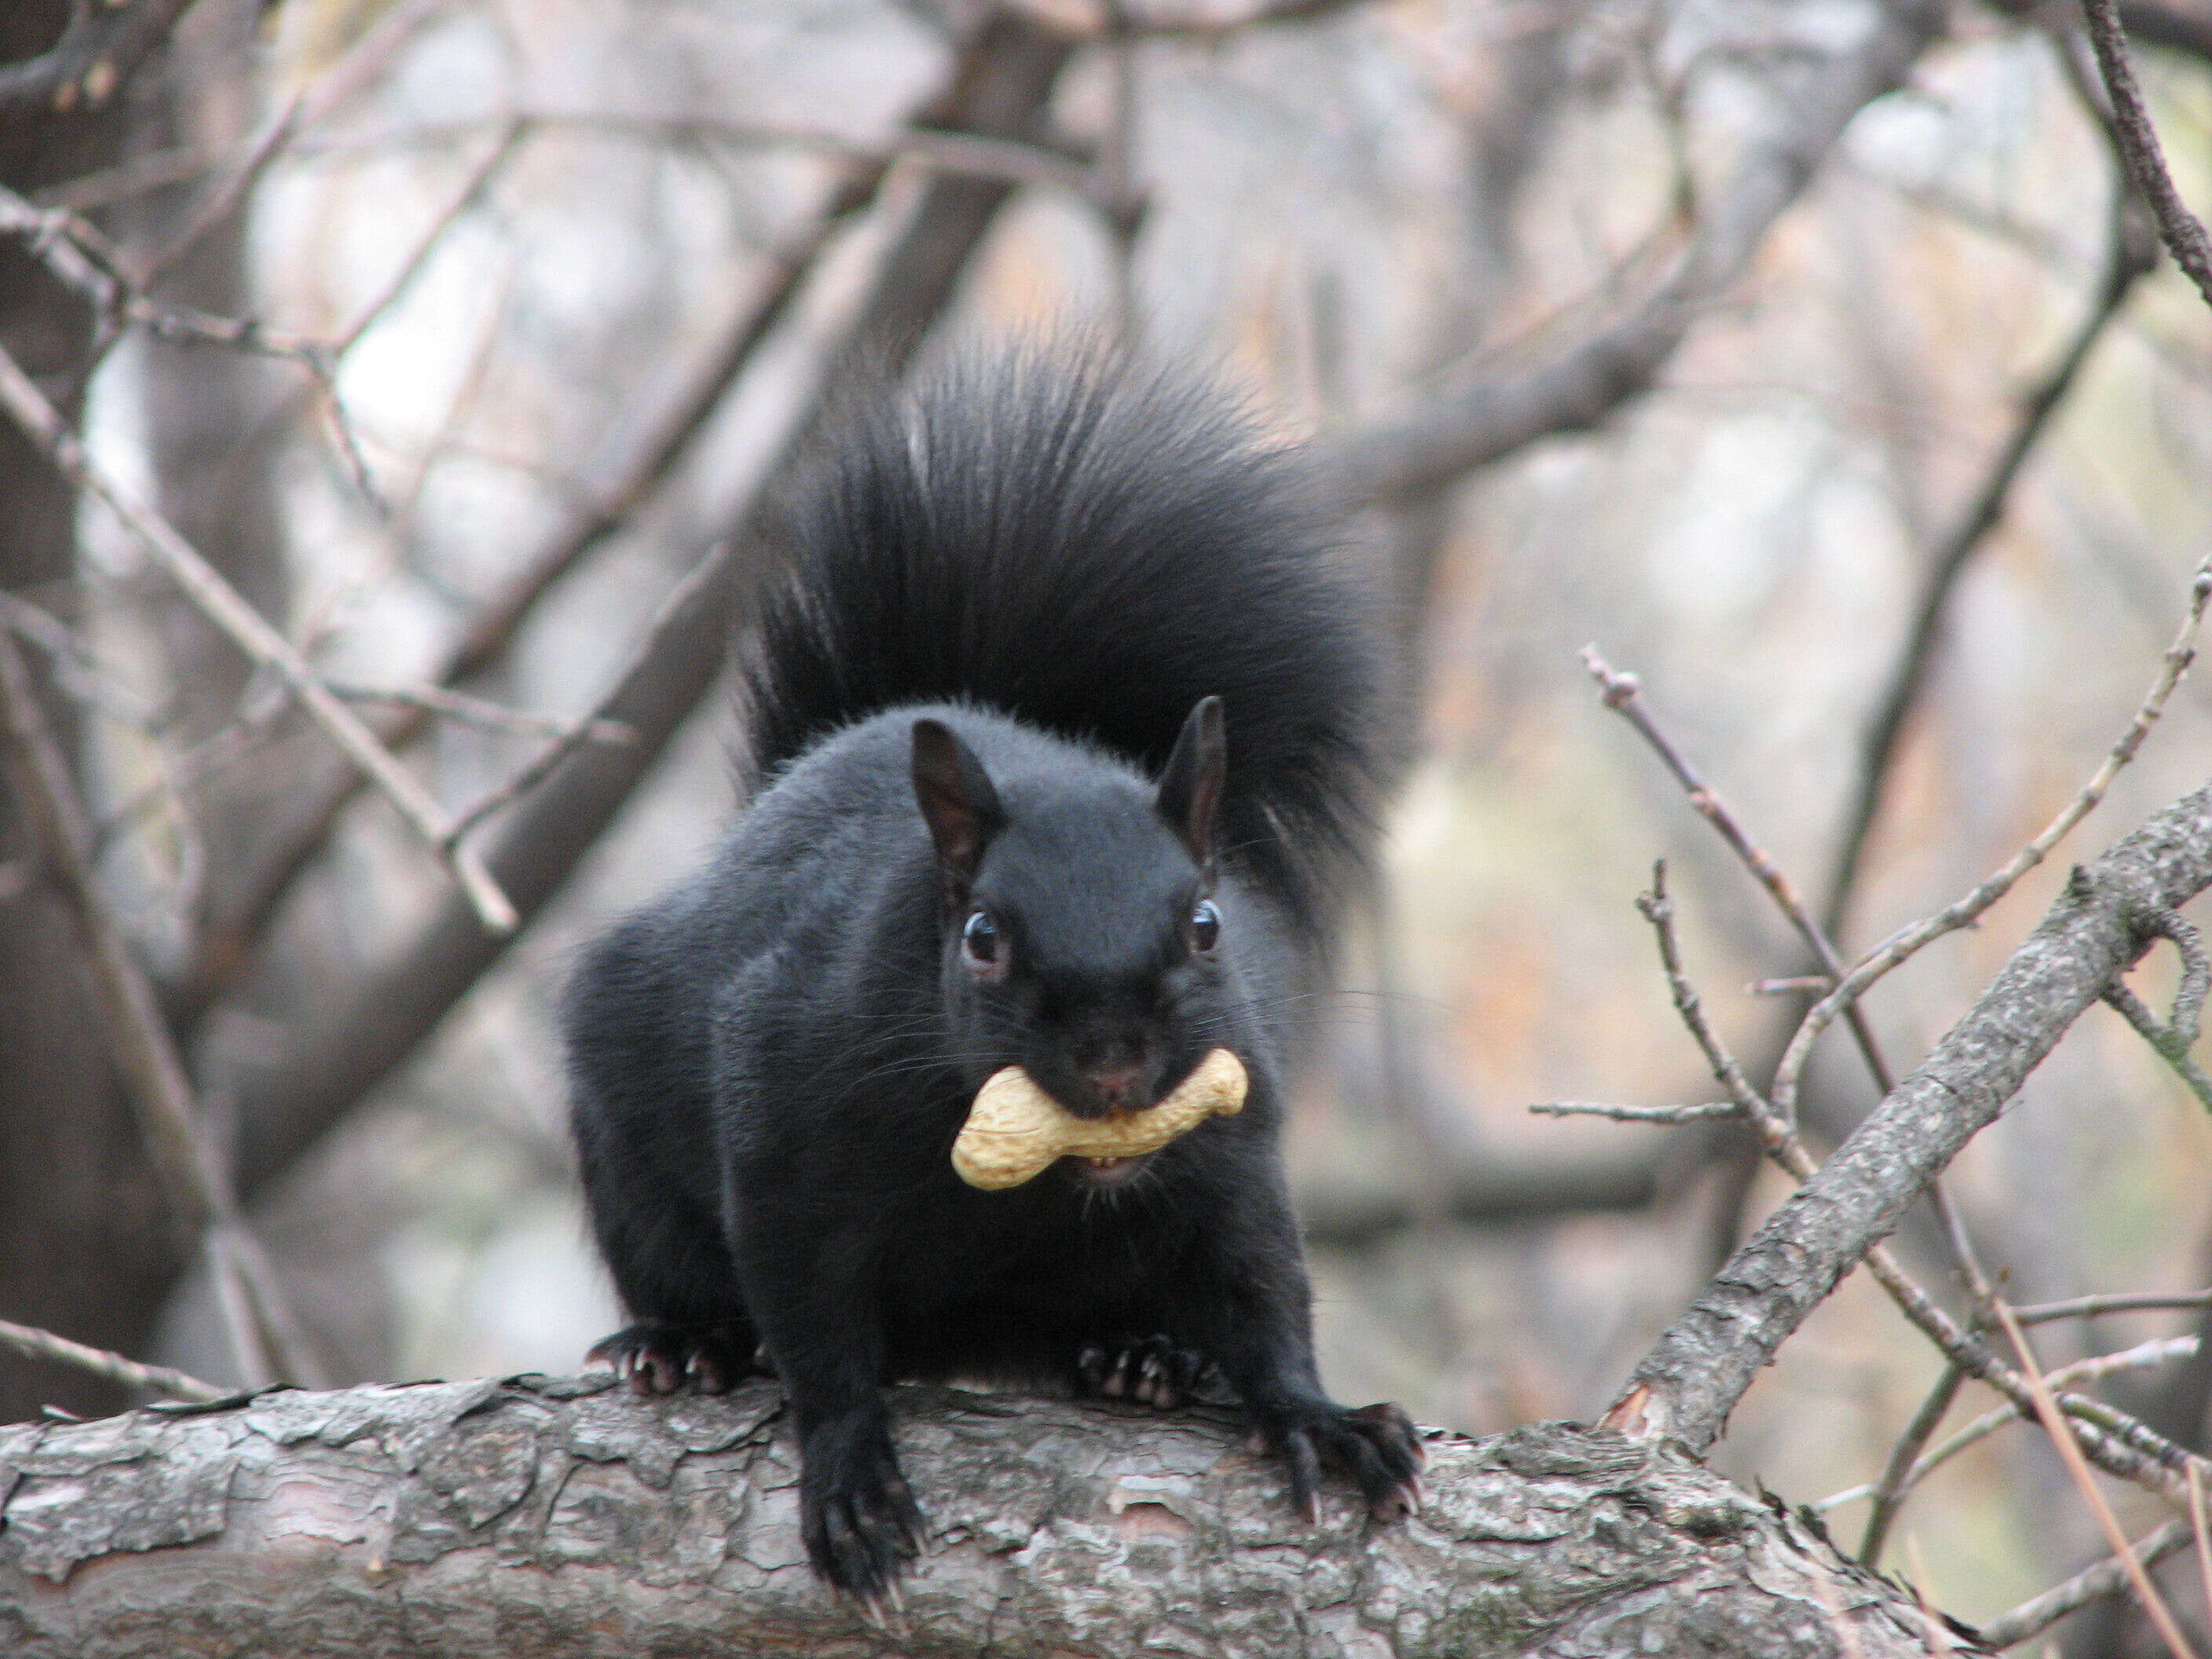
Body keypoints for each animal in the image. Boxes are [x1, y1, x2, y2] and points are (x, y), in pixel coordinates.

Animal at [566, 345, 1415, 1601]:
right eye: (981, 938)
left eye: (1208, 925)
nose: (1114, 1062)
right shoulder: (782, 1113)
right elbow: (814, 1320)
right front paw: (850, 1474)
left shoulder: (1232, 1138)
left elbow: (1260, 1283)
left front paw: (1319, 1418)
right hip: (623, 1123)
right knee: (674, 1261)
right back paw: (682, 1344)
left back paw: (1141, 1357)